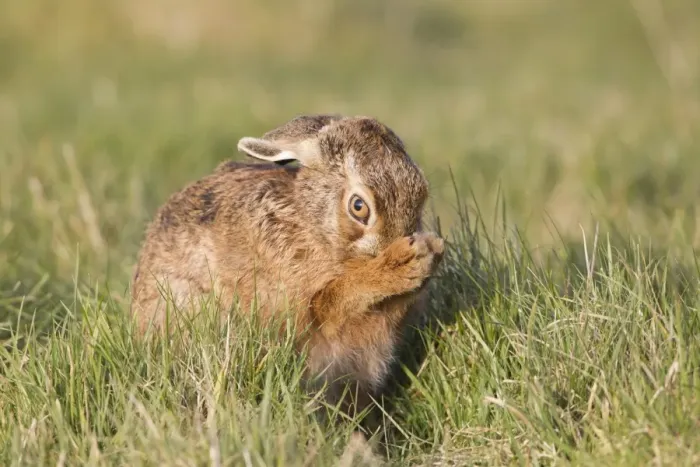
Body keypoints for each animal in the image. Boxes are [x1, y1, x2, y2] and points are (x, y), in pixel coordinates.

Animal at [130, 114, 445, 415]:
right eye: (359, 207)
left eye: (421, 194)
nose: (402, 241)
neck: (315, 225)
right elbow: (334, 301)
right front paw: (406, 262)